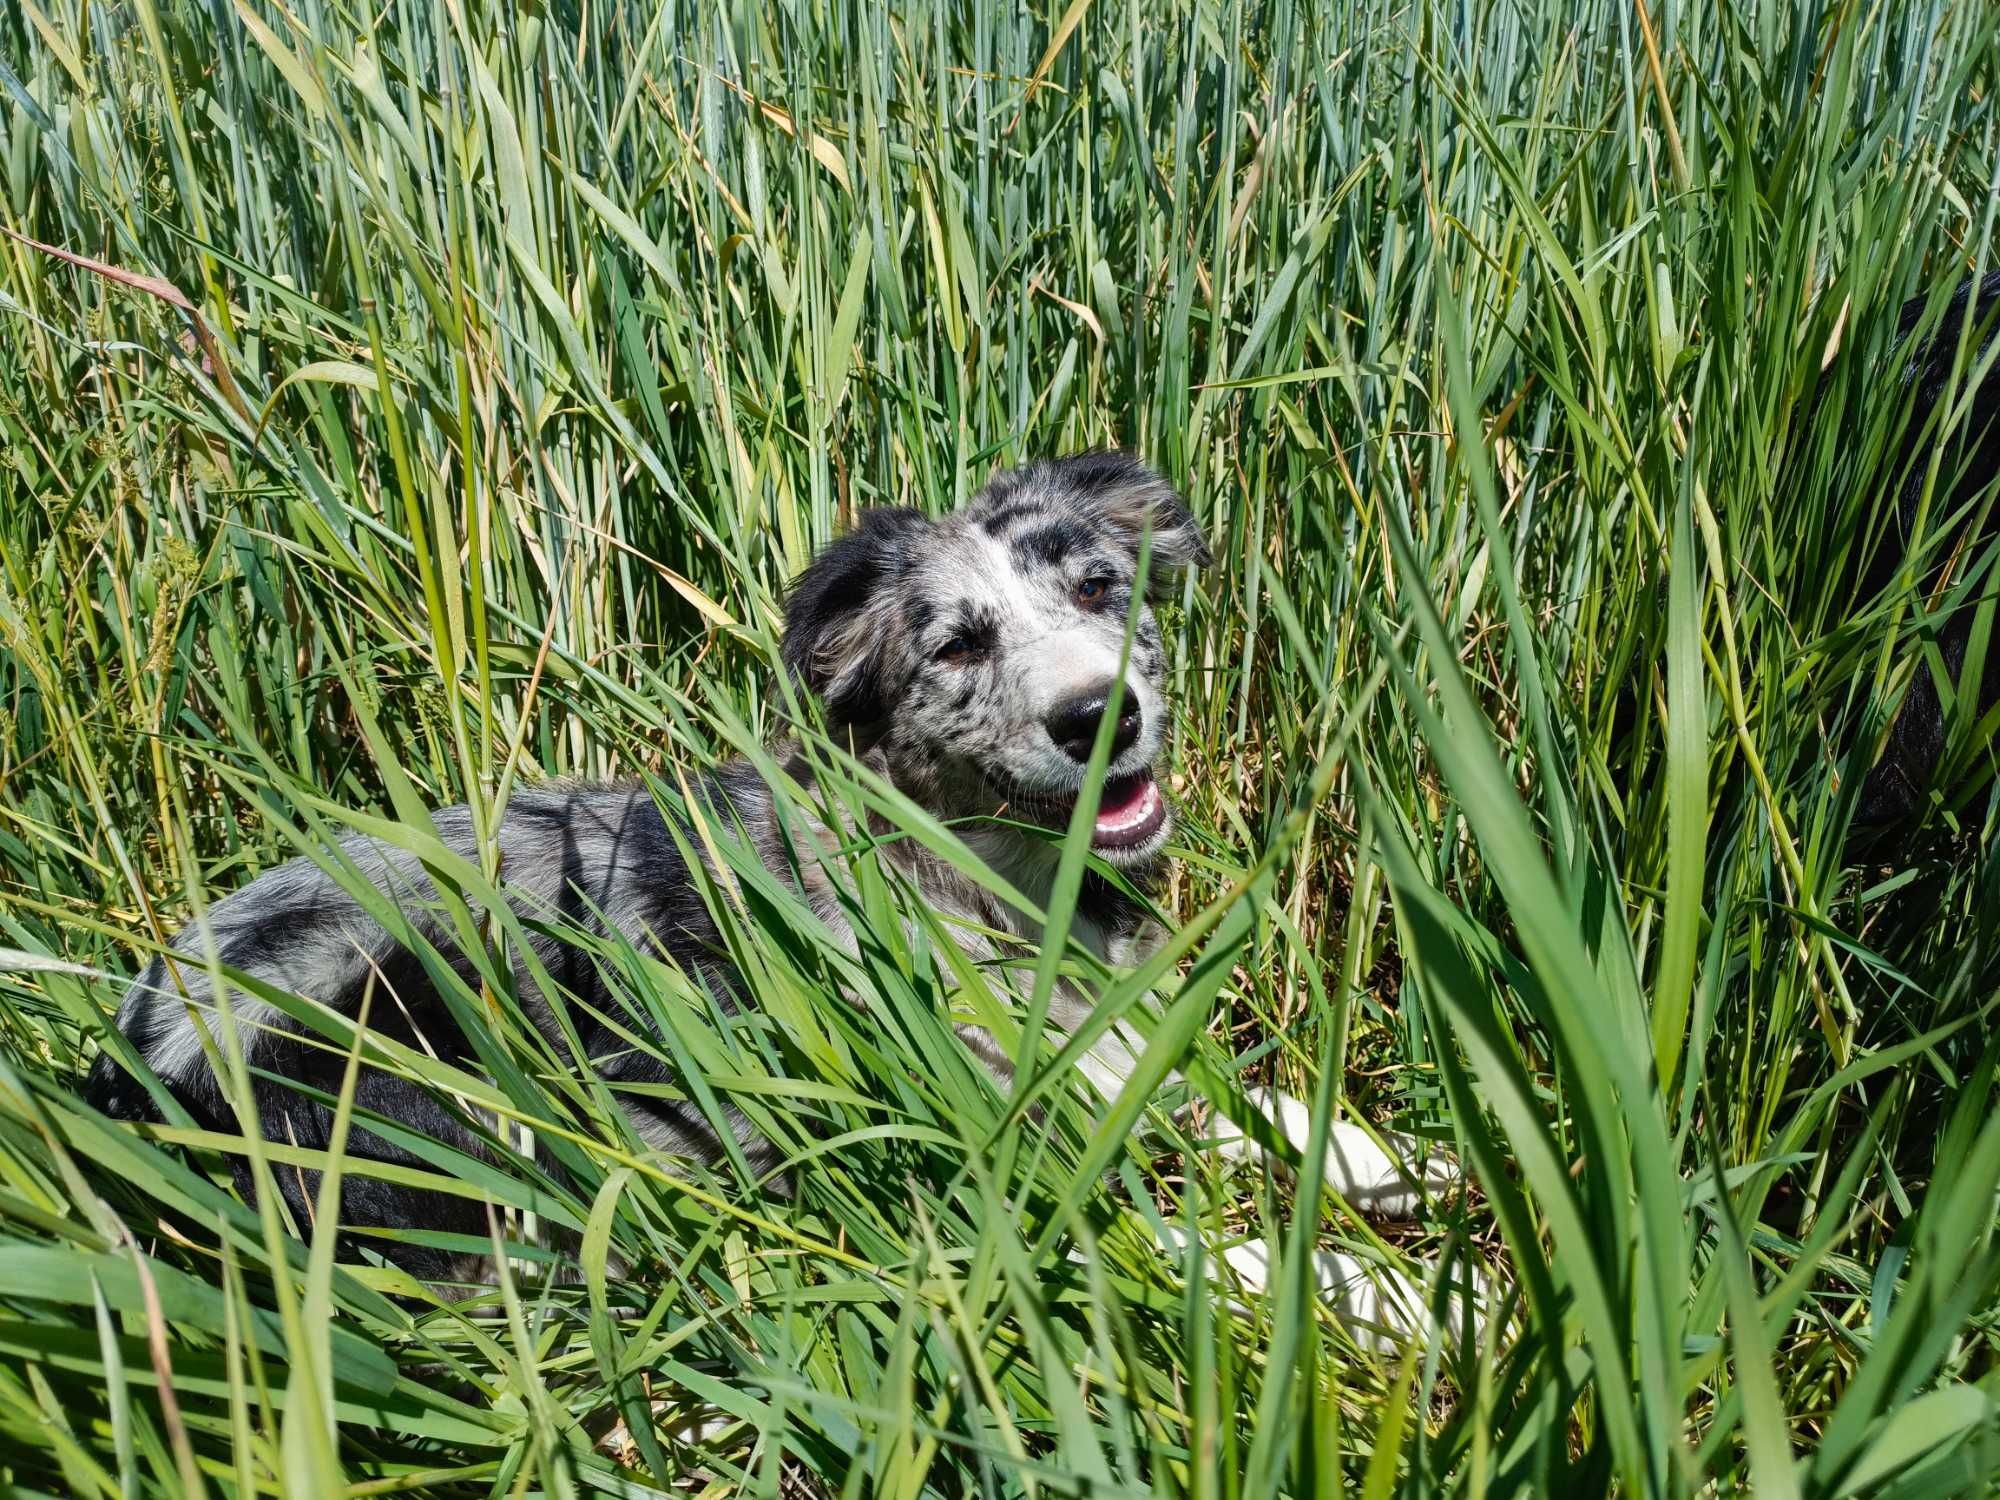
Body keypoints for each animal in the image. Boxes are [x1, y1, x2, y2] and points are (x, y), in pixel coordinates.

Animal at [86, 452, 1456, 1296]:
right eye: (957, 647)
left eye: (1096, 586)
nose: (1098, 716)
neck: (983, 886)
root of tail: (126, 1057)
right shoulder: (949, 1180)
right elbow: (1183, 1246)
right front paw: (1412, 1300)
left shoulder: (1103, 1049)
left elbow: (1241, 1105)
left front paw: (1392, 1162)